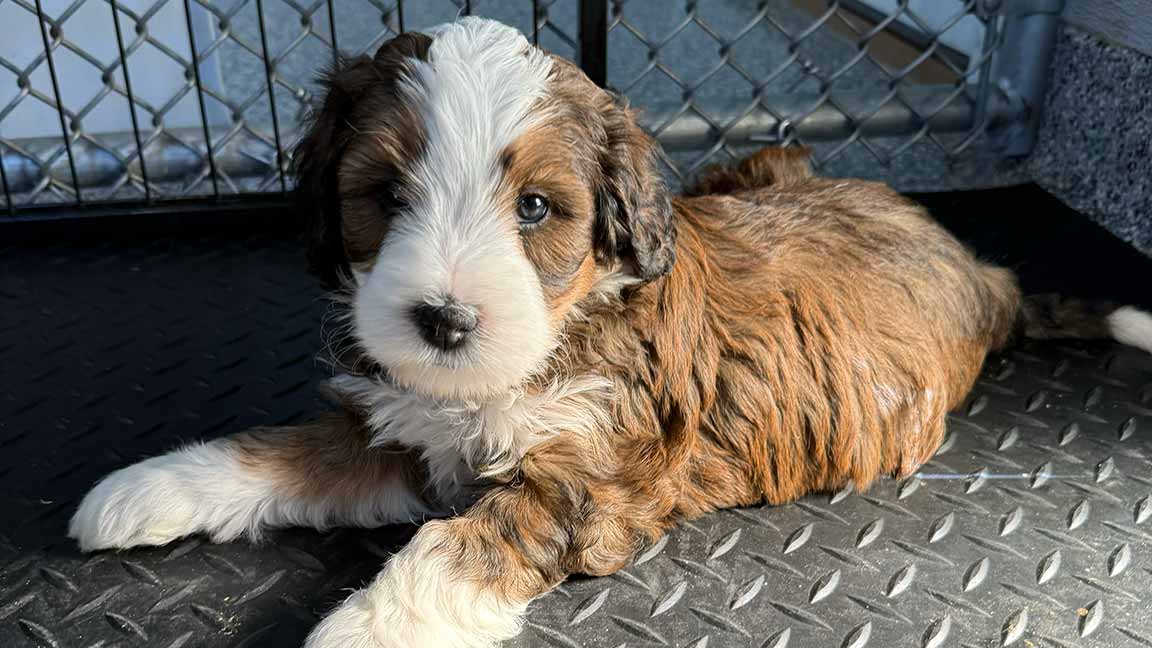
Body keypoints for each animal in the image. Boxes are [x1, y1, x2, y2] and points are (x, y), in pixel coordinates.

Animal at [69, 16, 1152, 645]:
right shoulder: (407, 430)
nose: (442, 320)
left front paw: (365, 630)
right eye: (385, 195)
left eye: (536, 209)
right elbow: (287, 449)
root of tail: (982, 270)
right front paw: (152, 487)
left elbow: (455, 545)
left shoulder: (593, 475)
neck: (561, 328)